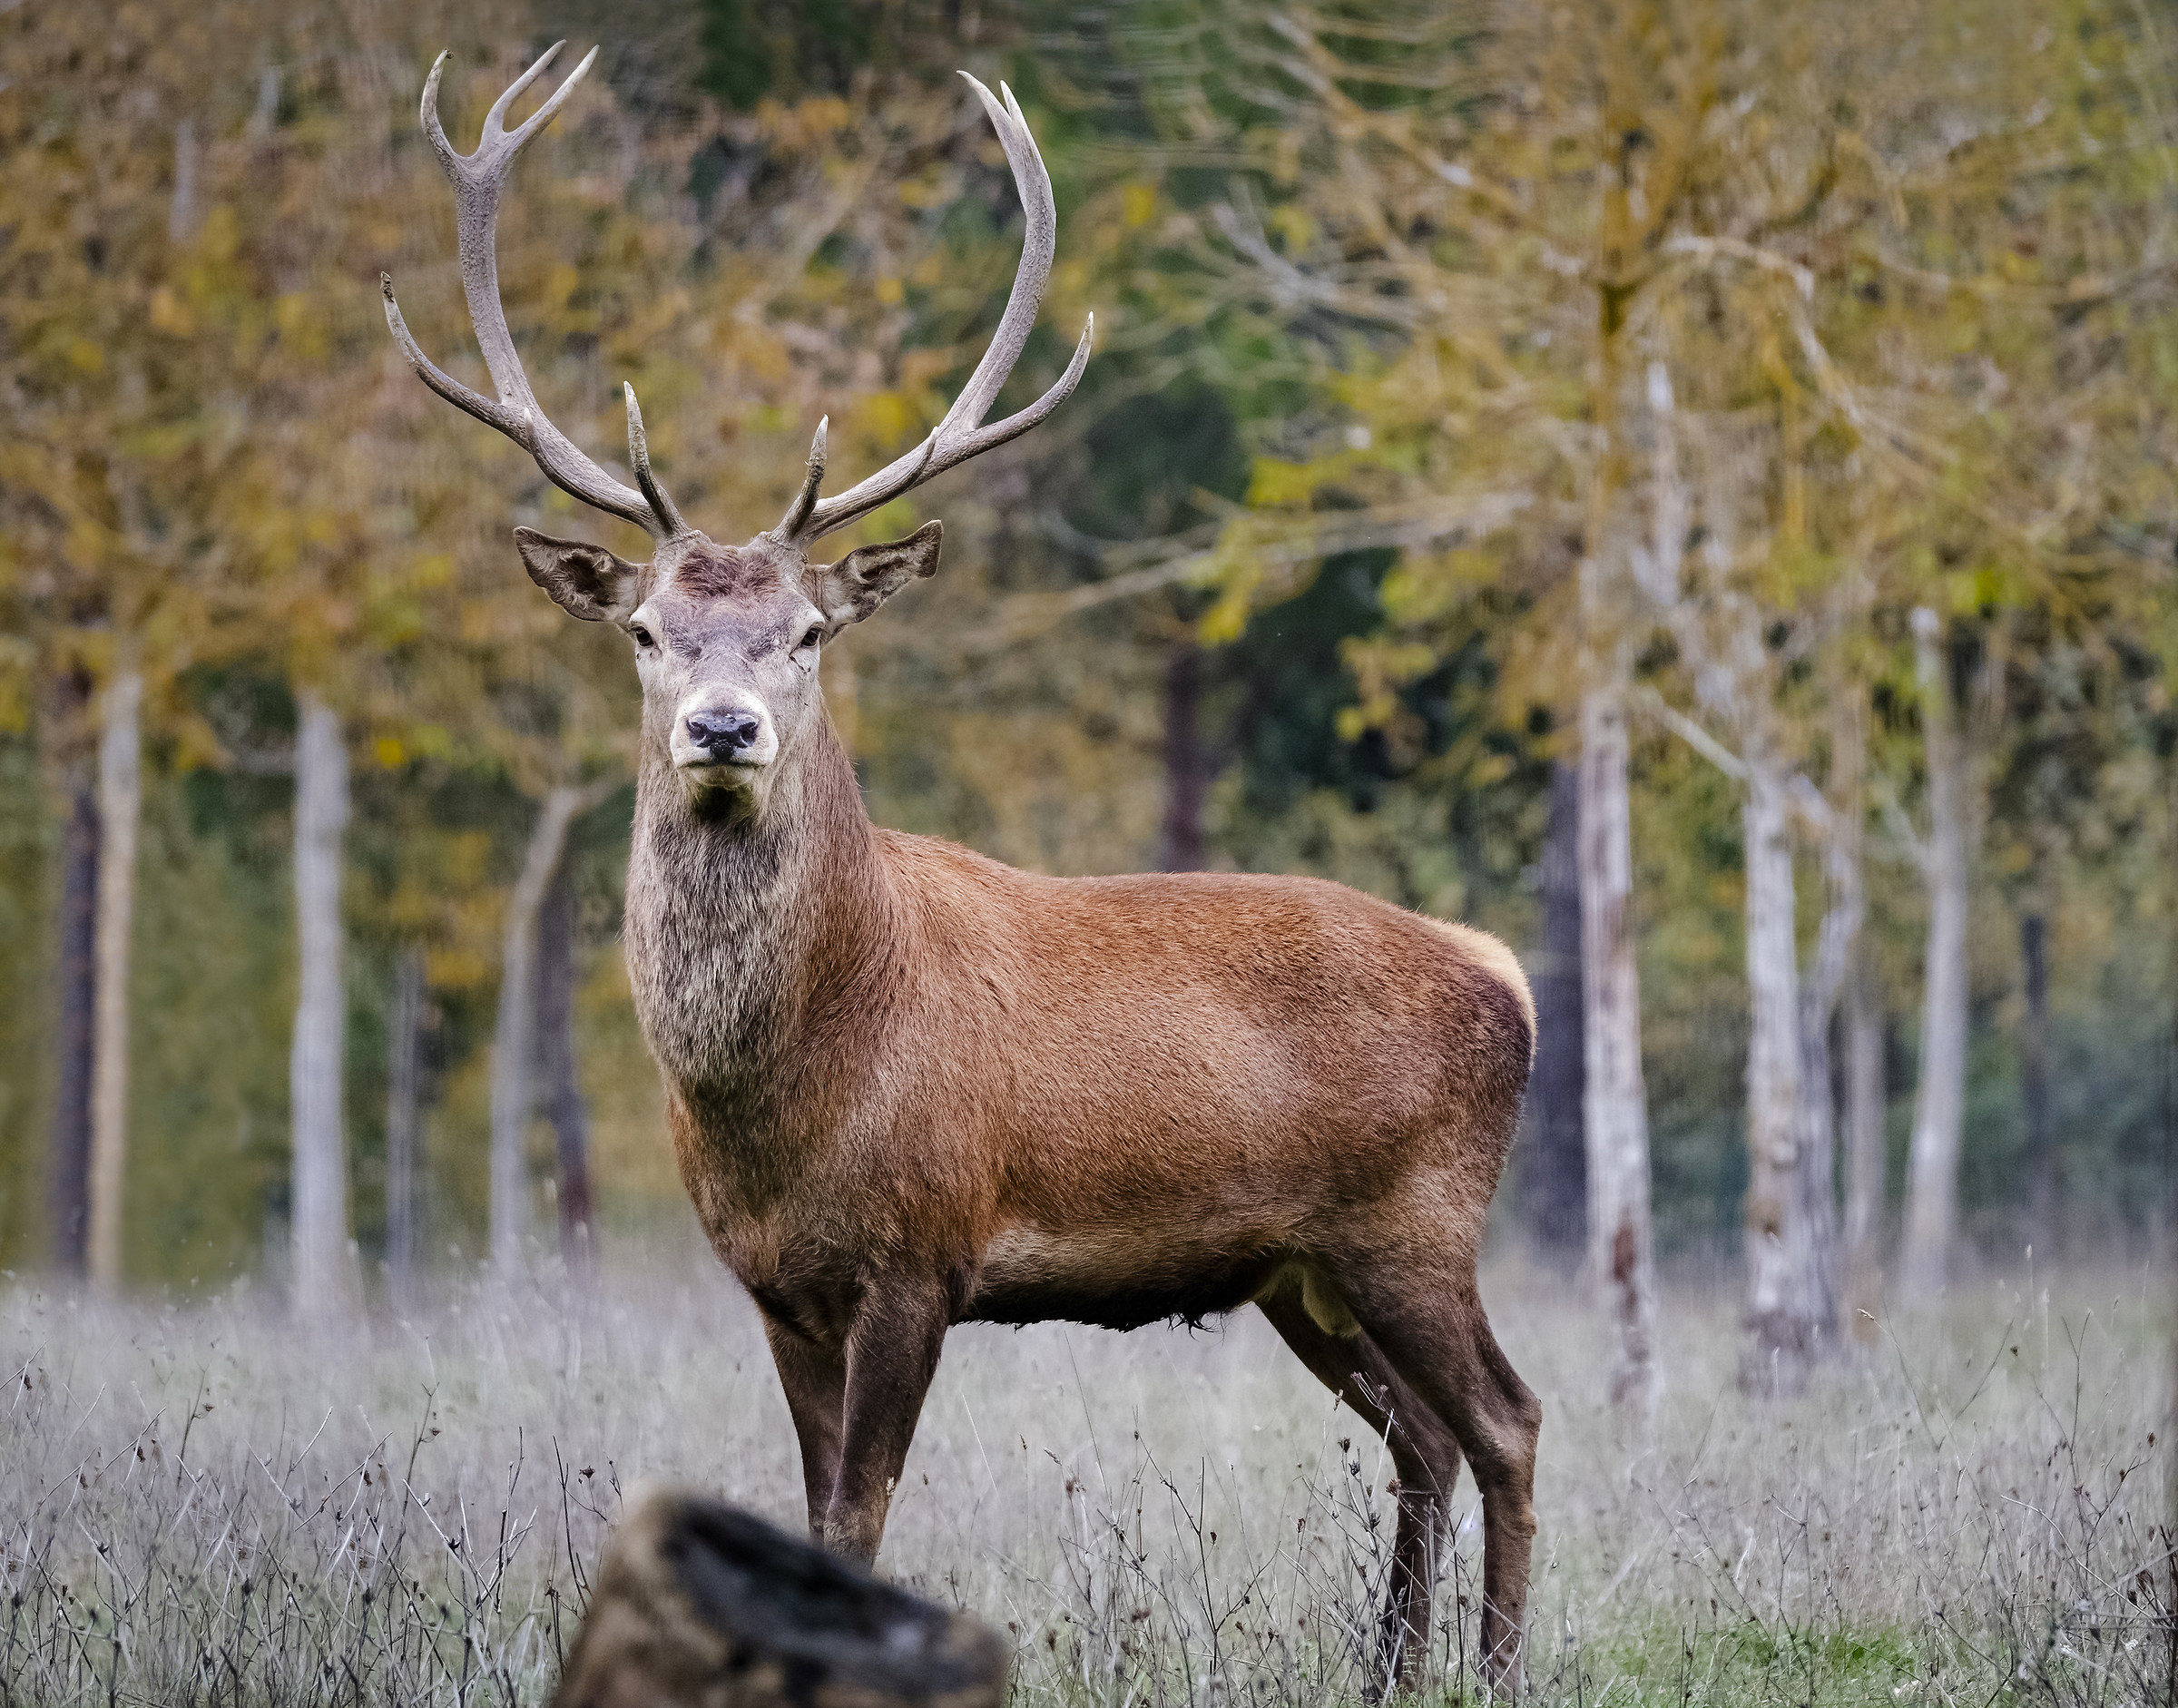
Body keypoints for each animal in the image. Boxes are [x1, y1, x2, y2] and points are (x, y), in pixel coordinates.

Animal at [382, 44, 1543, 1694]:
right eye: (645, 631)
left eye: (809, 630)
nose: (722, 725)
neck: (799, 1088)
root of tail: (1504, 968)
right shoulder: (778, 1286)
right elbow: (809, 1510)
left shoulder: (922, 1251)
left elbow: (859, 1516)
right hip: (1300, 1267)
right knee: (1421, 1442)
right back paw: (1388, 1668)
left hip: (1415, 1220)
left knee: (1504, 1421)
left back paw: (1493, 1666)